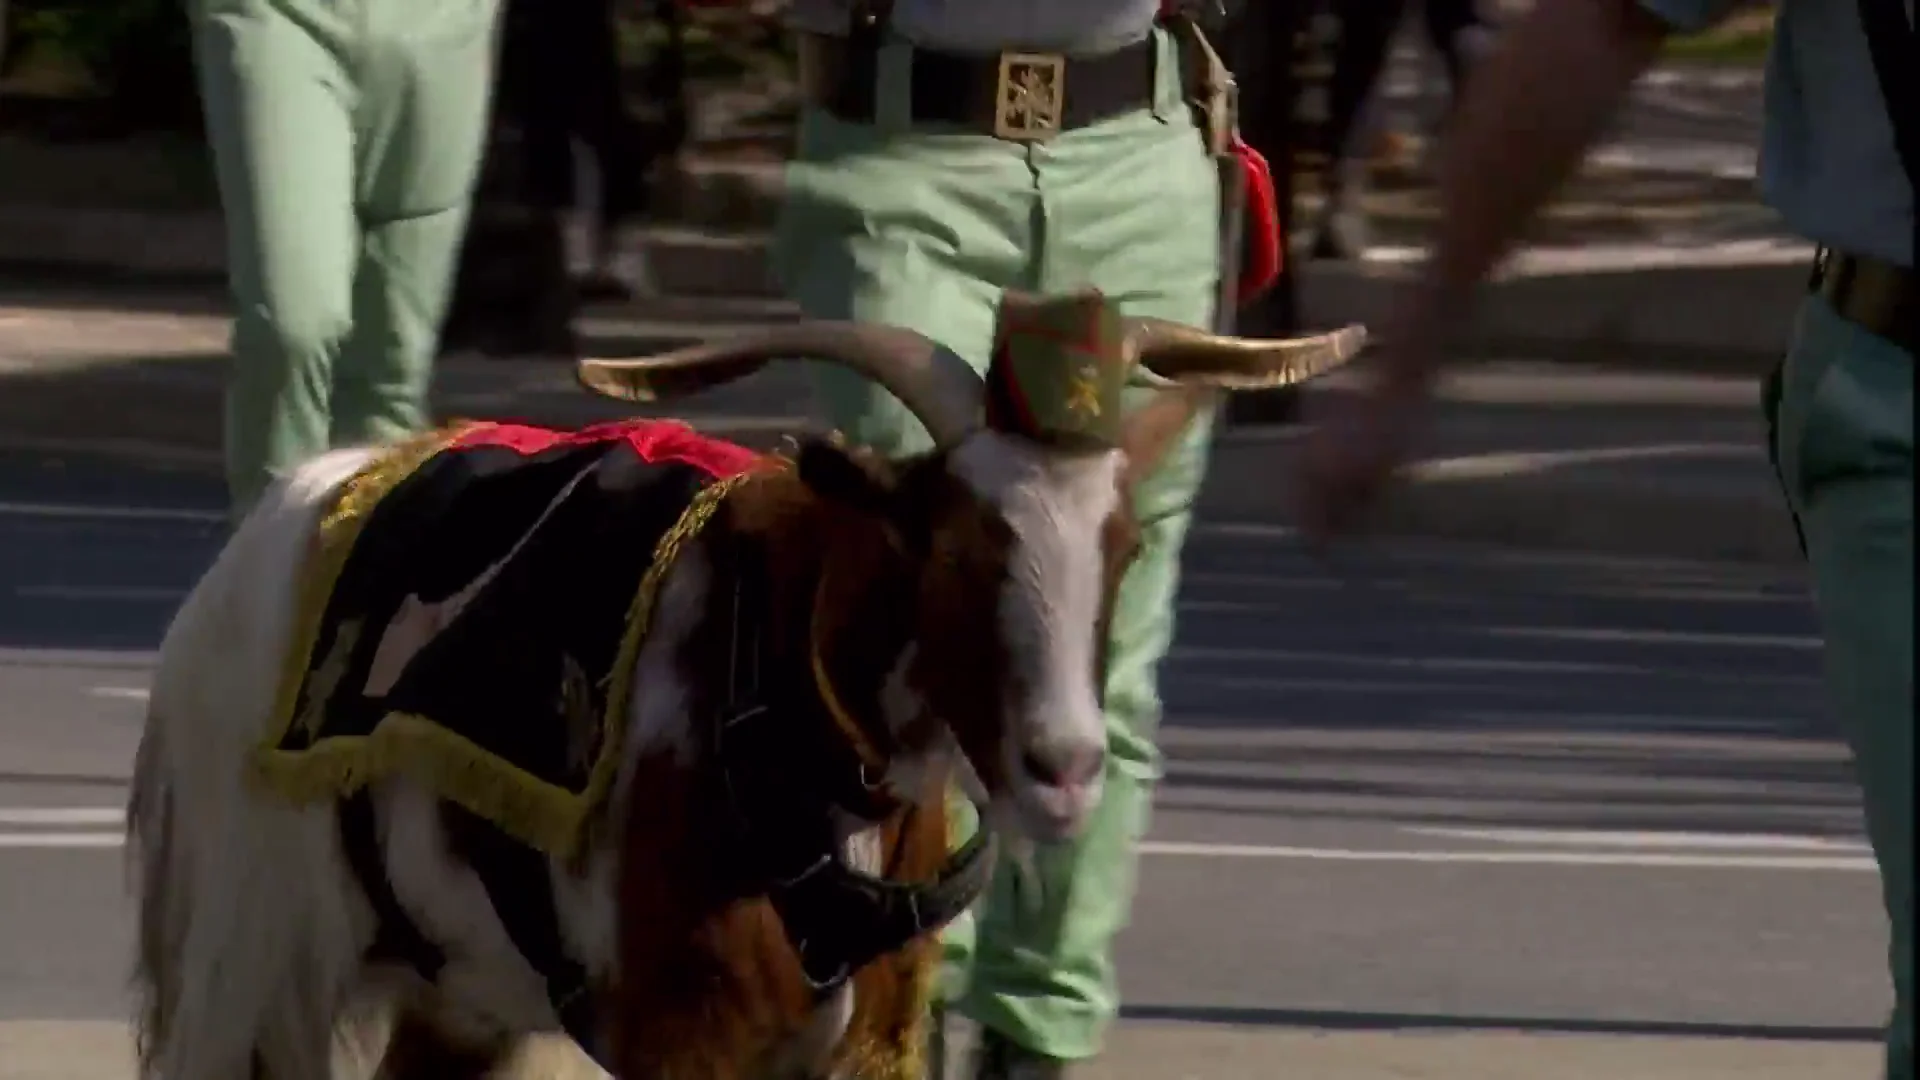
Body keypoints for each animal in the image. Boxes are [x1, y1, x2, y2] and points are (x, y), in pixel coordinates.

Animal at [127, 288, 1359, 1076]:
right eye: (954, 550)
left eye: (1125, 547)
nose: (1063, 768)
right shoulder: (685, 1042)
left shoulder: (871, 1046)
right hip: (252, 953)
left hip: (454, 994)